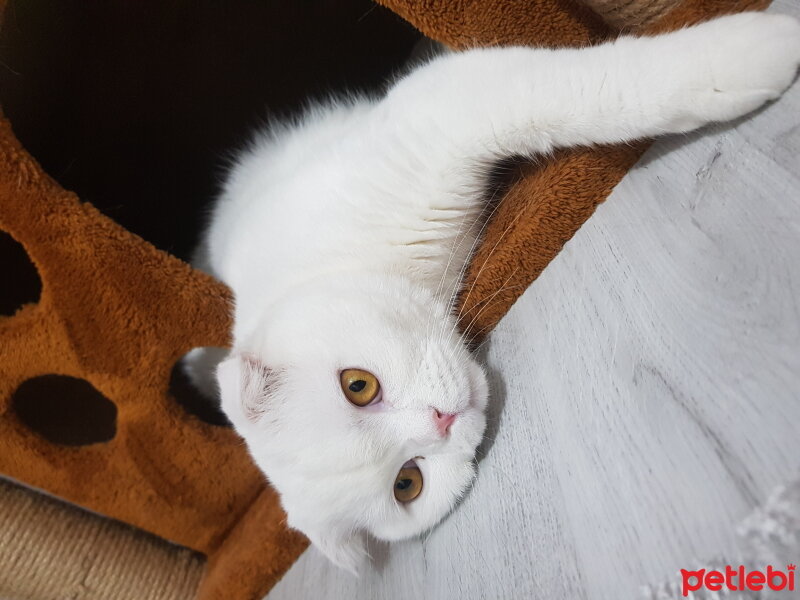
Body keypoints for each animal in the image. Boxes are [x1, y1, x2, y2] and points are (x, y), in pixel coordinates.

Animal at [186, 12, 800, 572]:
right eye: (408, 483)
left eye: (357, 386)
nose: (441, 419)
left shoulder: (440, 107)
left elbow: (603, 91)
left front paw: (758, 50)